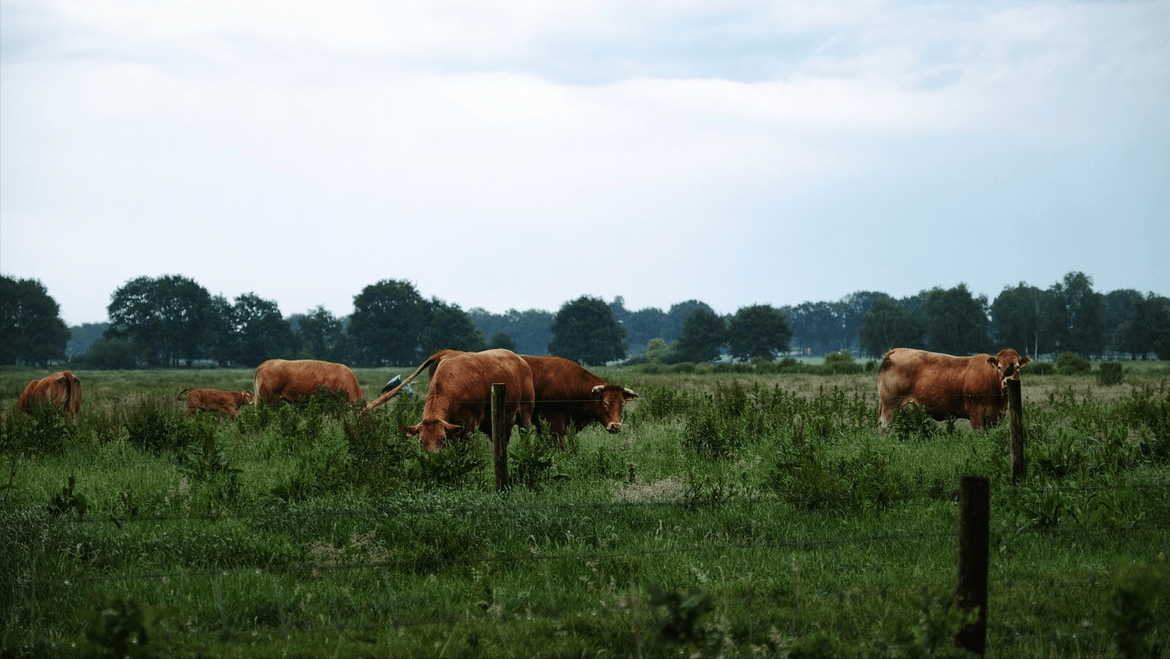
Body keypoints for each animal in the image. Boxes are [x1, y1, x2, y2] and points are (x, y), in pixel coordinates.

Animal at [362, 348, 535, 451]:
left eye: (442, 440)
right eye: (421, 442)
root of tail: (520, 360)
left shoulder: (469, 424)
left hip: (525, 414)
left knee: (525, 436)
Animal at [879, 346, 1034, 433]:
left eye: (1017, 367)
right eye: (999, 367)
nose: (1007, 381)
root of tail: (896, 351)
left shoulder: (994, 416)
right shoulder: (976, 414)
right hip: (890, 406)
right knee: (884, 426)